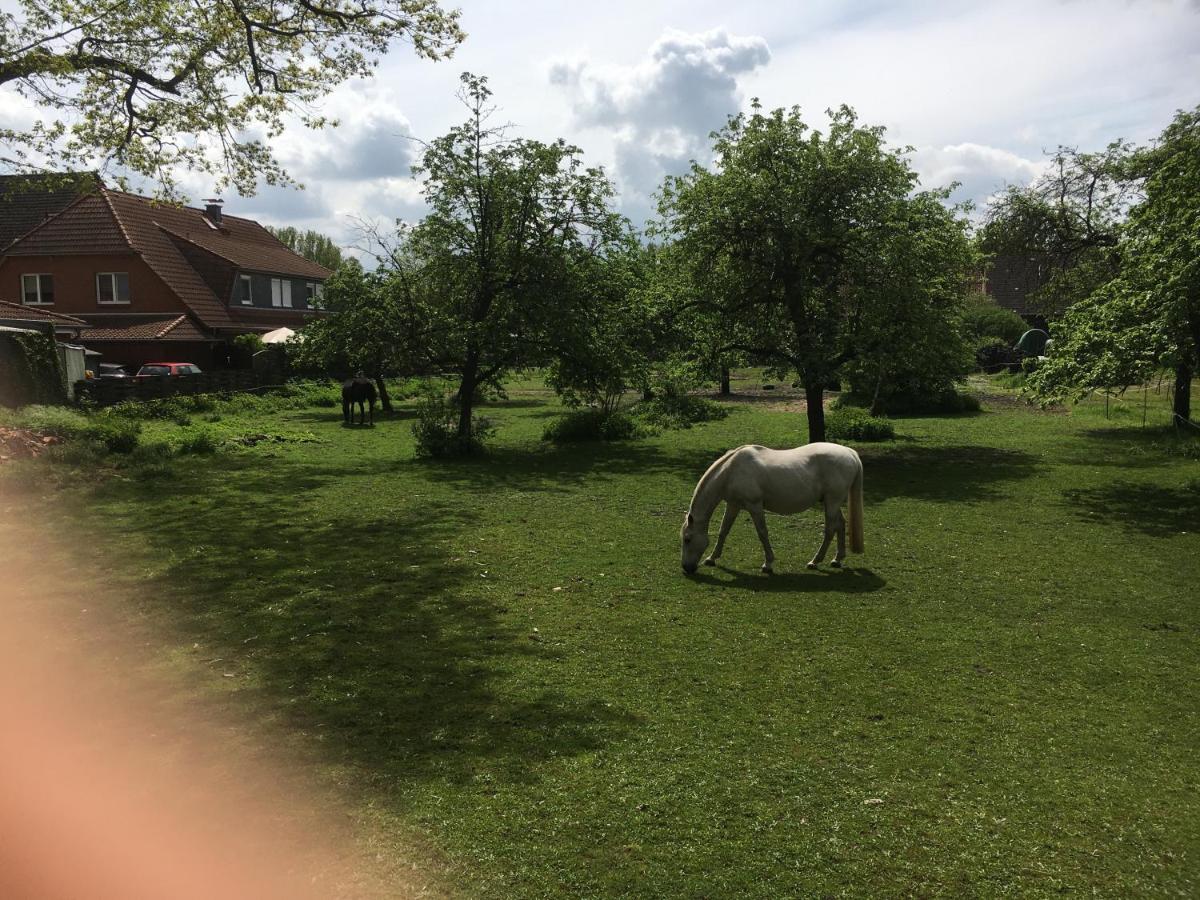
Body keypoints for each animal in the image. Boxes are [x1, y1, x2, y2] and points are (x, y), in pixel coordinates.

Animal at [681, 444, 868, 578]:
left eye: (688, 539)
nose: (686, 568)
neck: (731, 470)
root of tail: (851, 453)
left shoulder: (755, 506)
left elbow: (762, 533)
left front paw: (768, 564)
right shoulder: (733, 505)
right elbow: (723, 531)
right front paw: (711, 558)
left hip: (832, 501)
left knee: (830, 529)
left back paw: (815, 562)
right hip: (831, 503)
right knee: (840, 525)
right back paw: (837, 559)